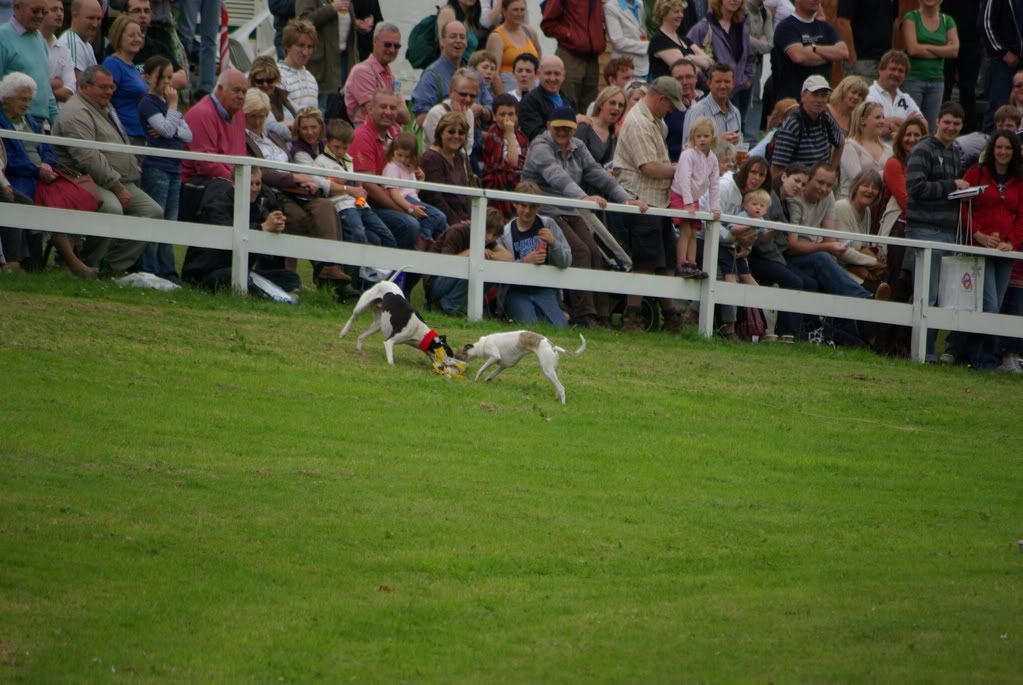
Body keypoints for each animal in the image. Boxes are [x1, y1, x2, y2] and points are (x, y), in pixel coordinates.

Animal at [454, 331, 589, 404]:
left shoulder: (494, 356)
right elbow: (492, 374)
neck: (481, 345)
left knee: (561, 388)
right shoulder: (503, 365)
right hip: (550, 371)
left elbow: (481, 369)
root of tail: (552, 345)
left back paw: (563, 404)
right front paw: (487, 380)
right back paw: (557, 399)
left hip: (548, 370)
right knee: (556, 386)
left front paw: (476, 379)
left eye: (456, 355)